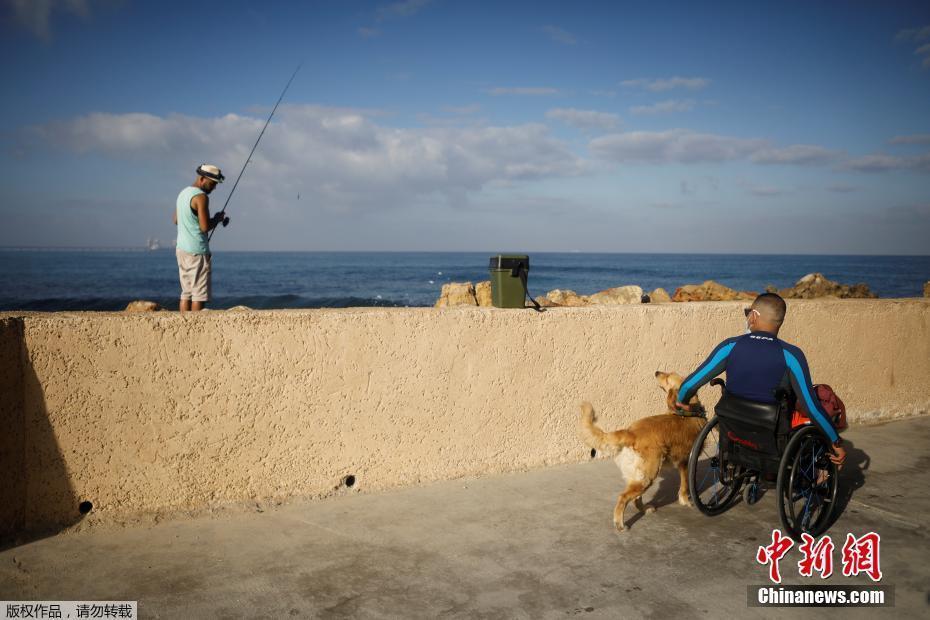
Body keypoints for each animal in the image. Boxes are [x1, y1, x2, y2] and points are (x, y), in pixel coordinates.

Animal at [580, 370, 704, 532]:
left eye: (668, 377)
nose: (657, 372)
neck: (688, 411)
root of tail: (631, 432)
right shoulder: (685, 463)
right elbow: (685, 485)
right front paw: (686, 502)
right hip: (648, 475)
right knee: (624, 497)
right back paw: (620, 524)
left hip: (639, 476)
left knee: (636, 499)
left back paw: (645, 509)